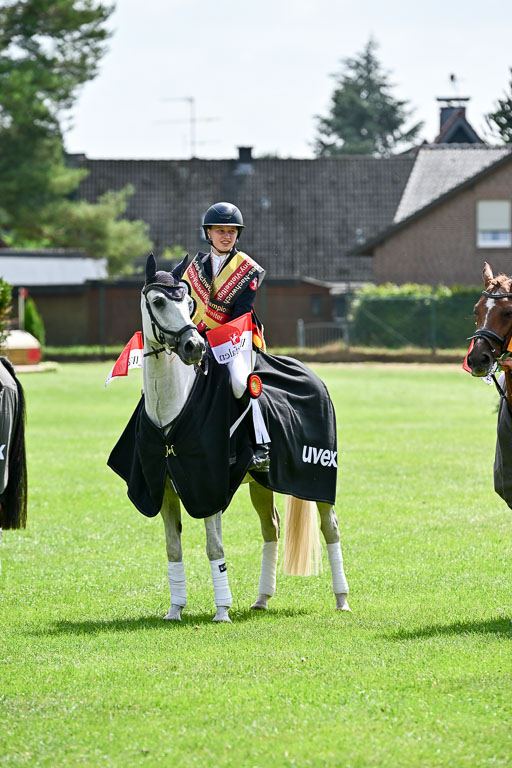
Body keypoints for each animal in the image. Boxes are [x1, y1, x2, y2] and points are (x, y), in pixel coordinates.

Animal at [108, 255, 350, 622]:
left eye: (187, 303)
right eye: (159, 301)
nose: (193, 346)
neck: (172, 405)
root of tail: (310, 374)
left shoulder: (207, 487)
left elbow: (214, 548)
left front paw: (222, 610)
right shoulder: (164, 489)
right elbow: (173, 548)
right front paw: (175, 609)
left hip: (319, 479)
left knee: (330, 528)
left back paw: (342, 600)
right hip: (261, 483)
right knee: (271, 528)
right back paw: (262, 599)